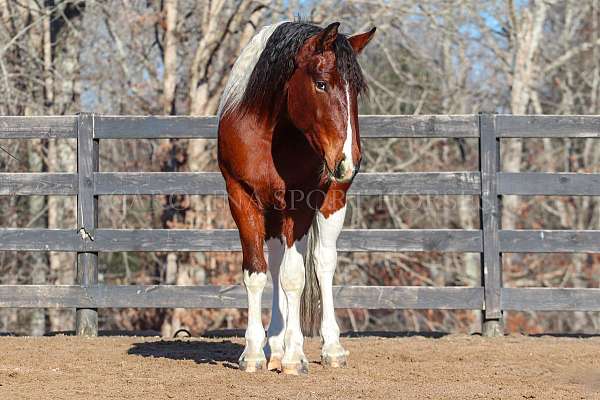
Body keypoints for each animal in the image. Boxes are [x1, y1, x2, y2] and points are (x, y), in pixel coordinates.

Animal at [216, 20, 376, 374]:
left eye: (356, 91)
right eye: (321, 83)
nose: (349, 160)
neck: (268, 134)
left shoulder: (301, 203)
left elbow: (295, 276)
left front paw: (293, 356)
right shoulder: (241, 198)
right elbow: (256, 272)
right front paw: (253, 352)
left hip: (330, 203)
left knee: (321, 263)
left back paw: (328, 348)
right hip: (274, 213)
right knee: (277, 264)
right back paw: (274, 344)